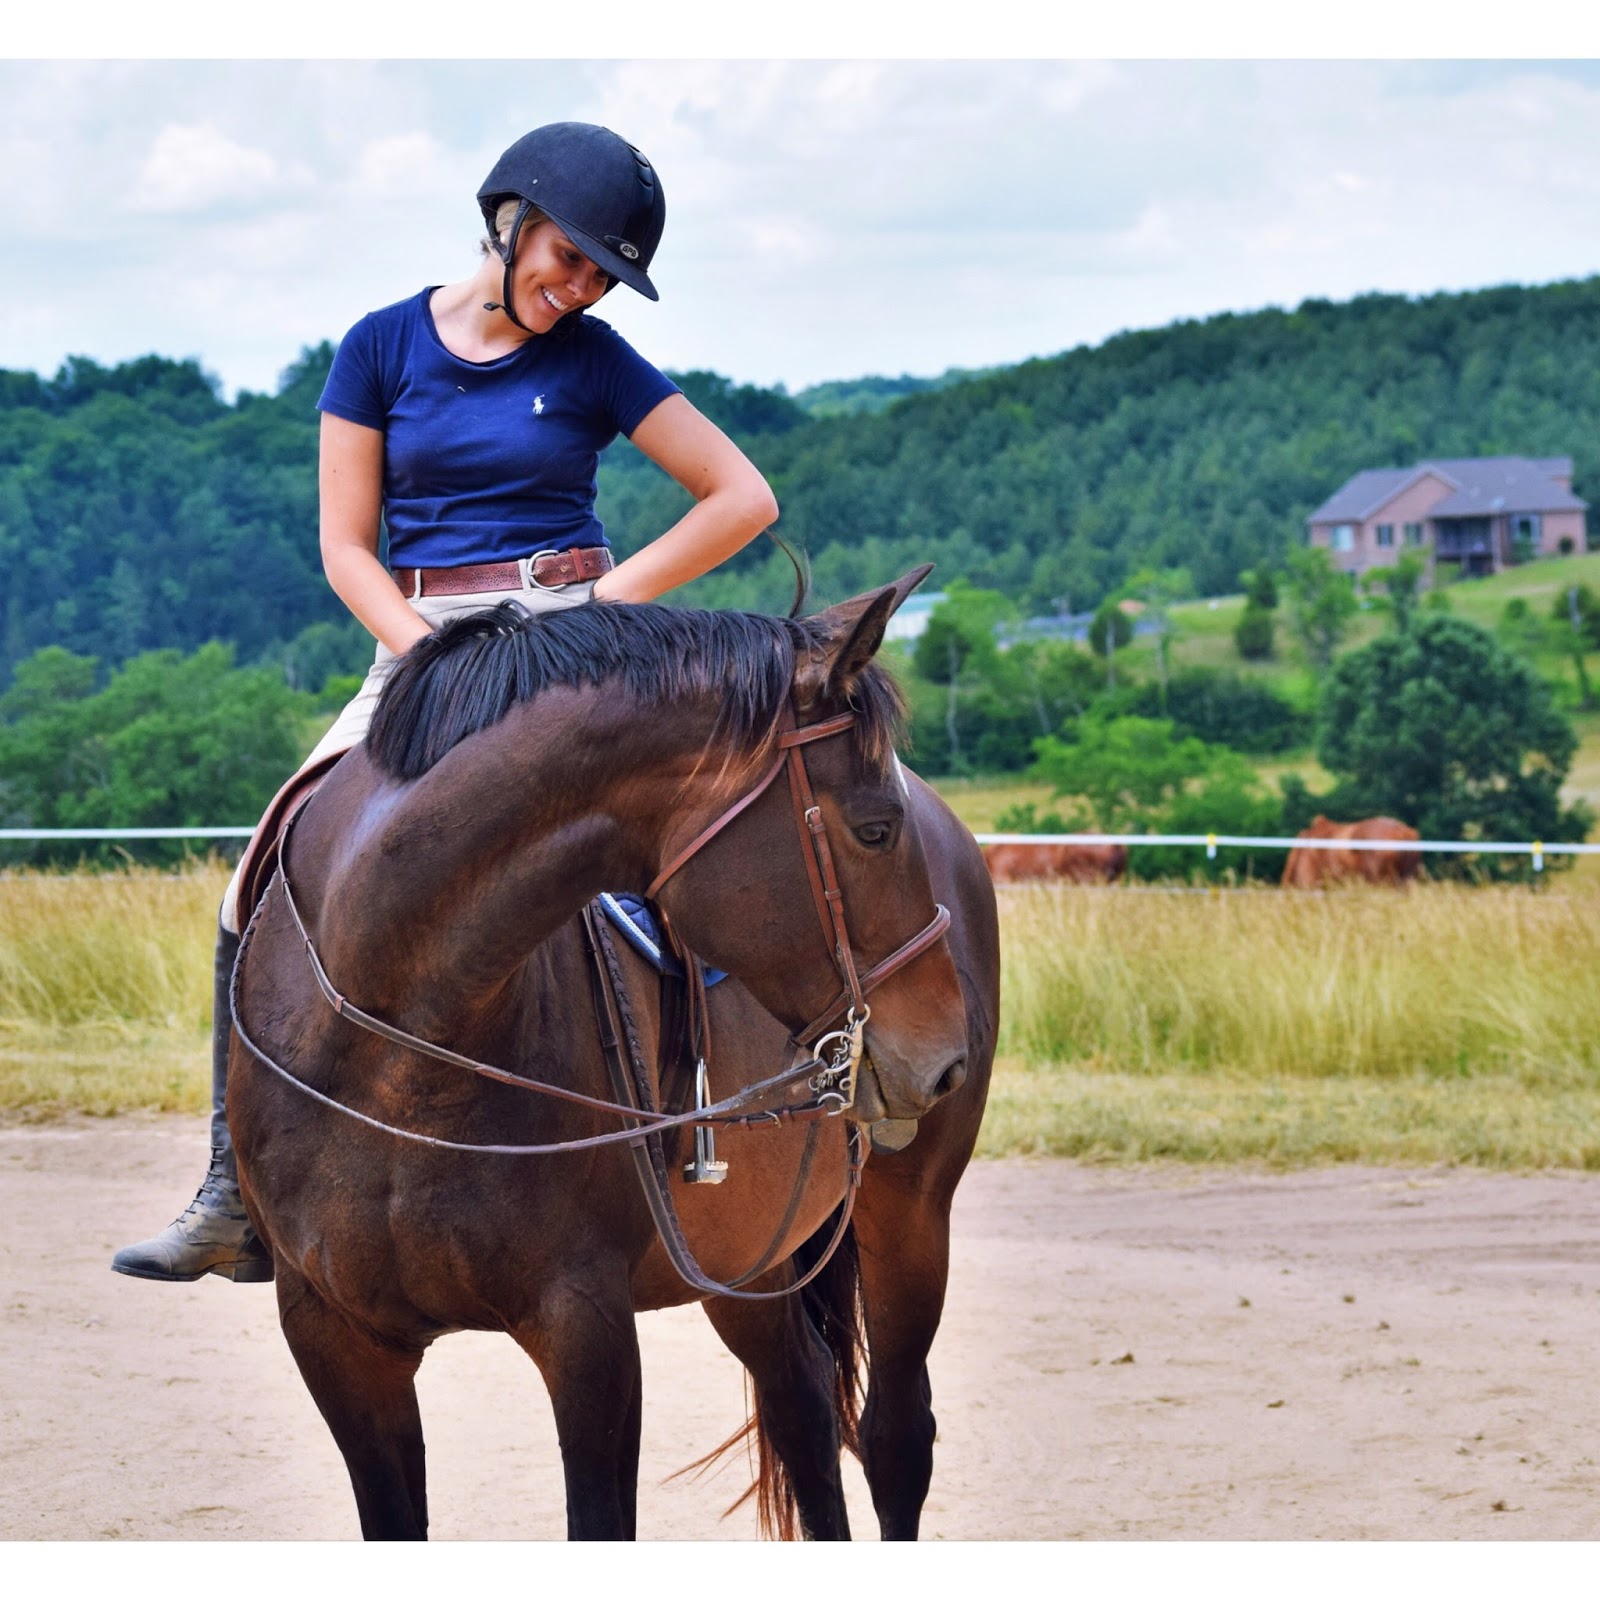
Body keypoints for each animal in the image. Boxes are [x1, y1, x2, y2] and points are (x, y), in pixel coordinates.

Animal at [226, 568, 1000, 1541]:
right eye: (874, 828)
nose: (941, 1060)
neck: (395, 1056)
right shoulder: (332, 1335)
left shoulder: (586, 1330)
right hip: (748, 1255)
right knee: (805, 1405)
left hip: (907, 1212)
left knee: (896, 1438)